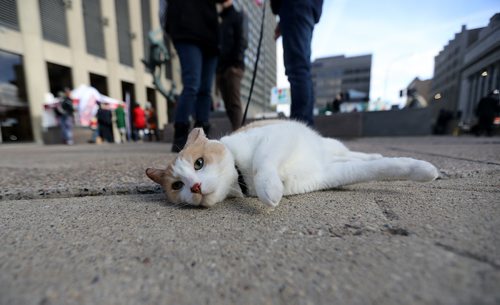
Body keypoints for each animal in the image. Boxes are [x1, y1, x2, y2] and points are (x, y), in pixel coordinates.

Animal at [146, 120, 440, 208]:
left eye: (199, 163)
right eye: (177, 185)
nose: (194, 187)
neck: (241, 179)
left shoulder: (278, 136)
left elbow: (262, 163)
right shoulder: (330, 174)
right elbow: (375, 170)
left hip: (331, 145)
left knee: (357, 154)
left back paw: (373, 154)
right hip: (333, 159)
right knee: (353, 159)